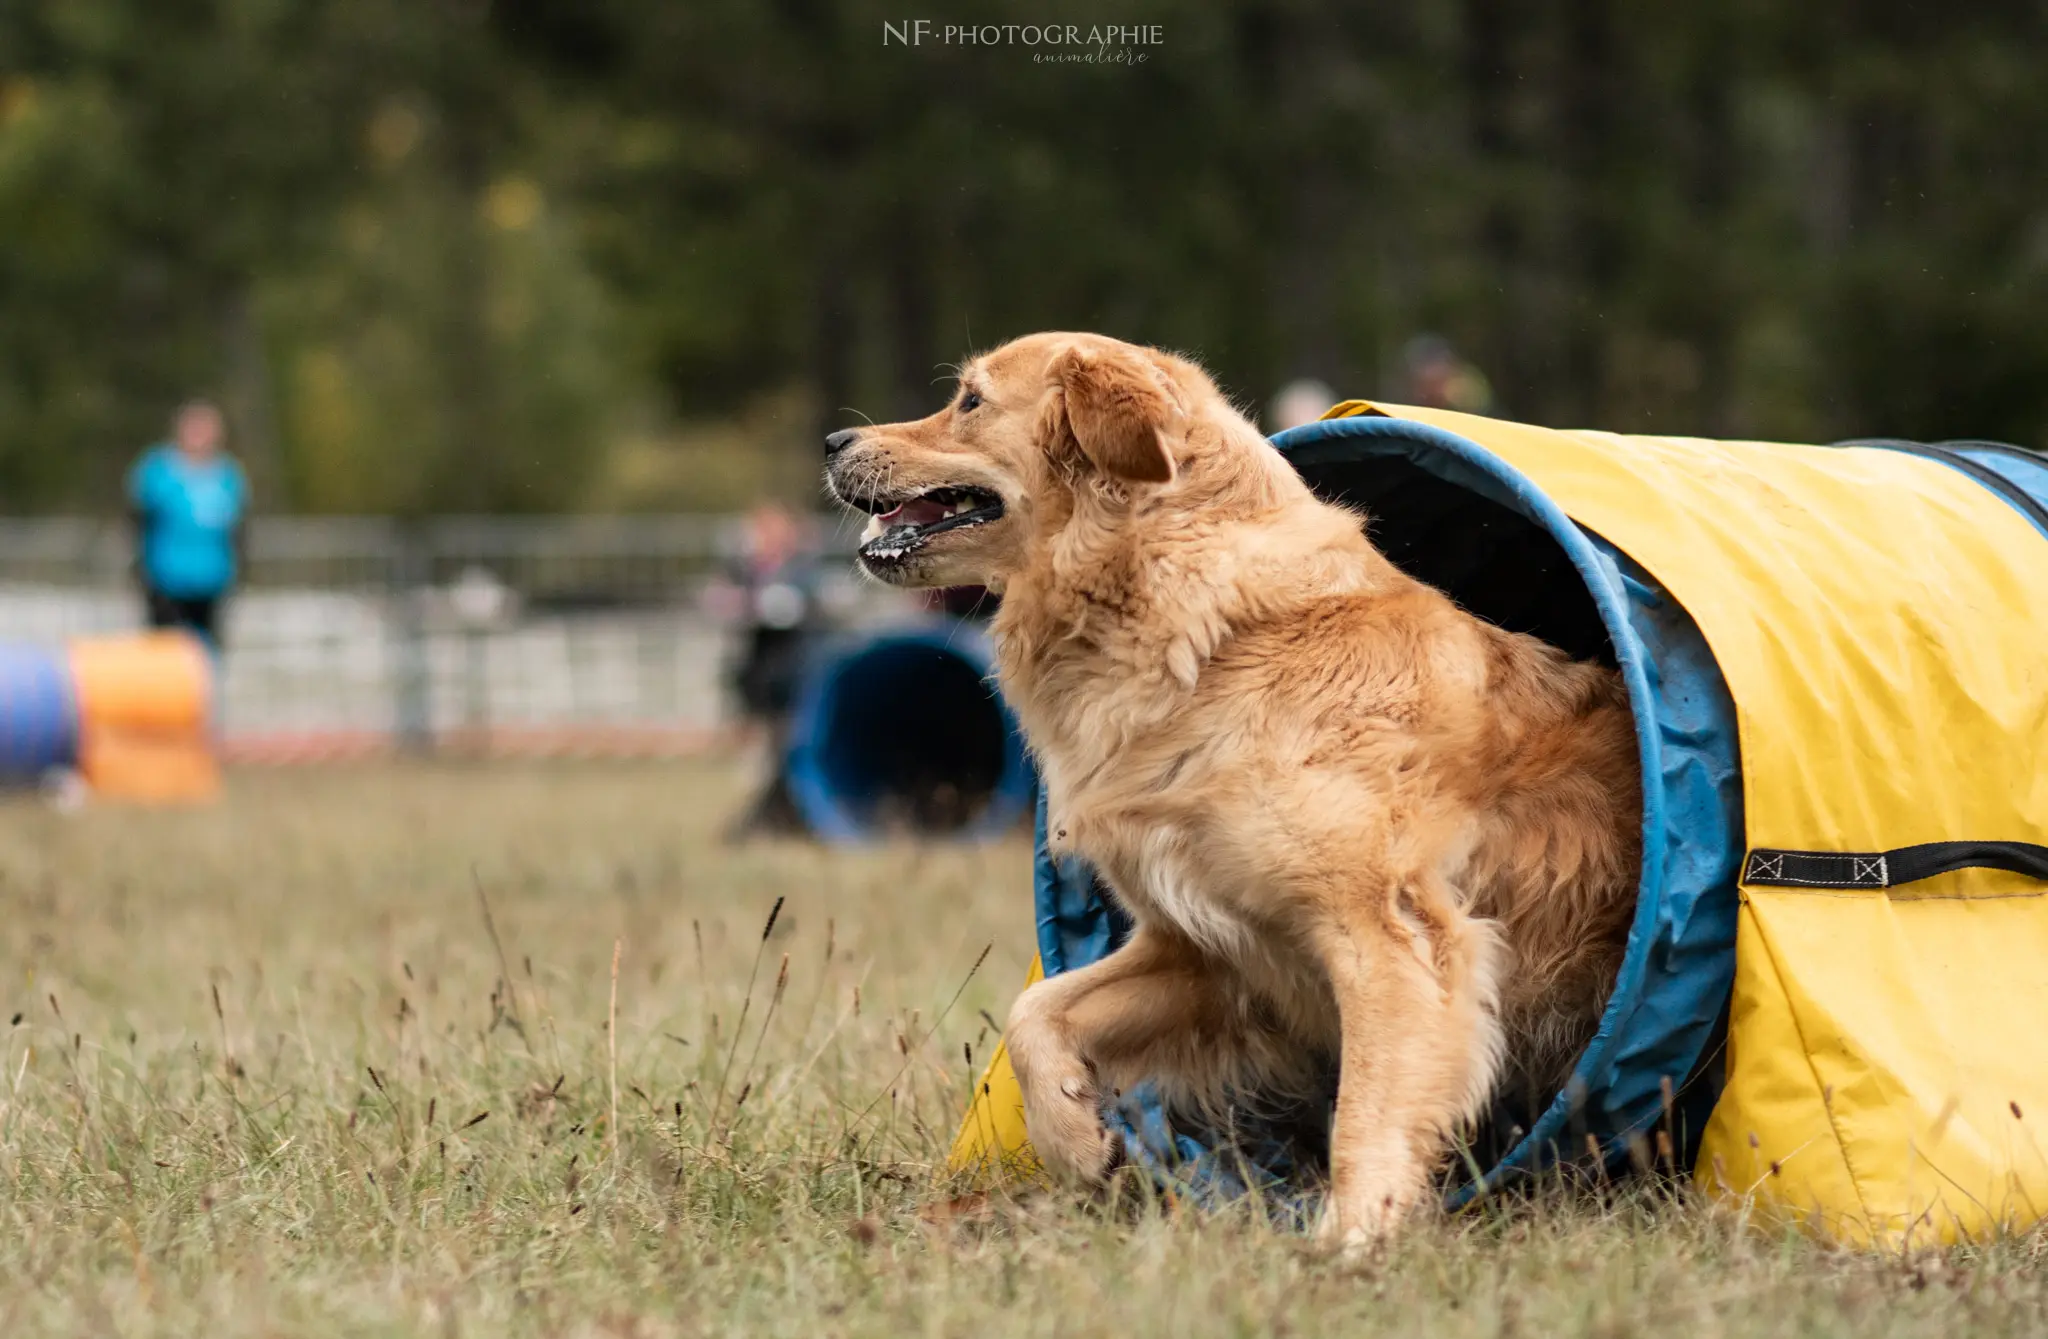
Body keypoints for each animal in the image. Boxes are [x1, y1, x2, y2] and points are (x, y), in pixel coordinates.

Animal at [823, 333, 1638, 1244]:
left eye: (969, 399)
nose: (832, 442)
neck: (1207, 630)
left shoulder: (1391, 936)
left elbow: (1369, 1108)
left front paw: (1353, 1236)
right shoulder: (1210, 945)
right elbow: (1037, 1011)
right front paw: (1077, 1139)